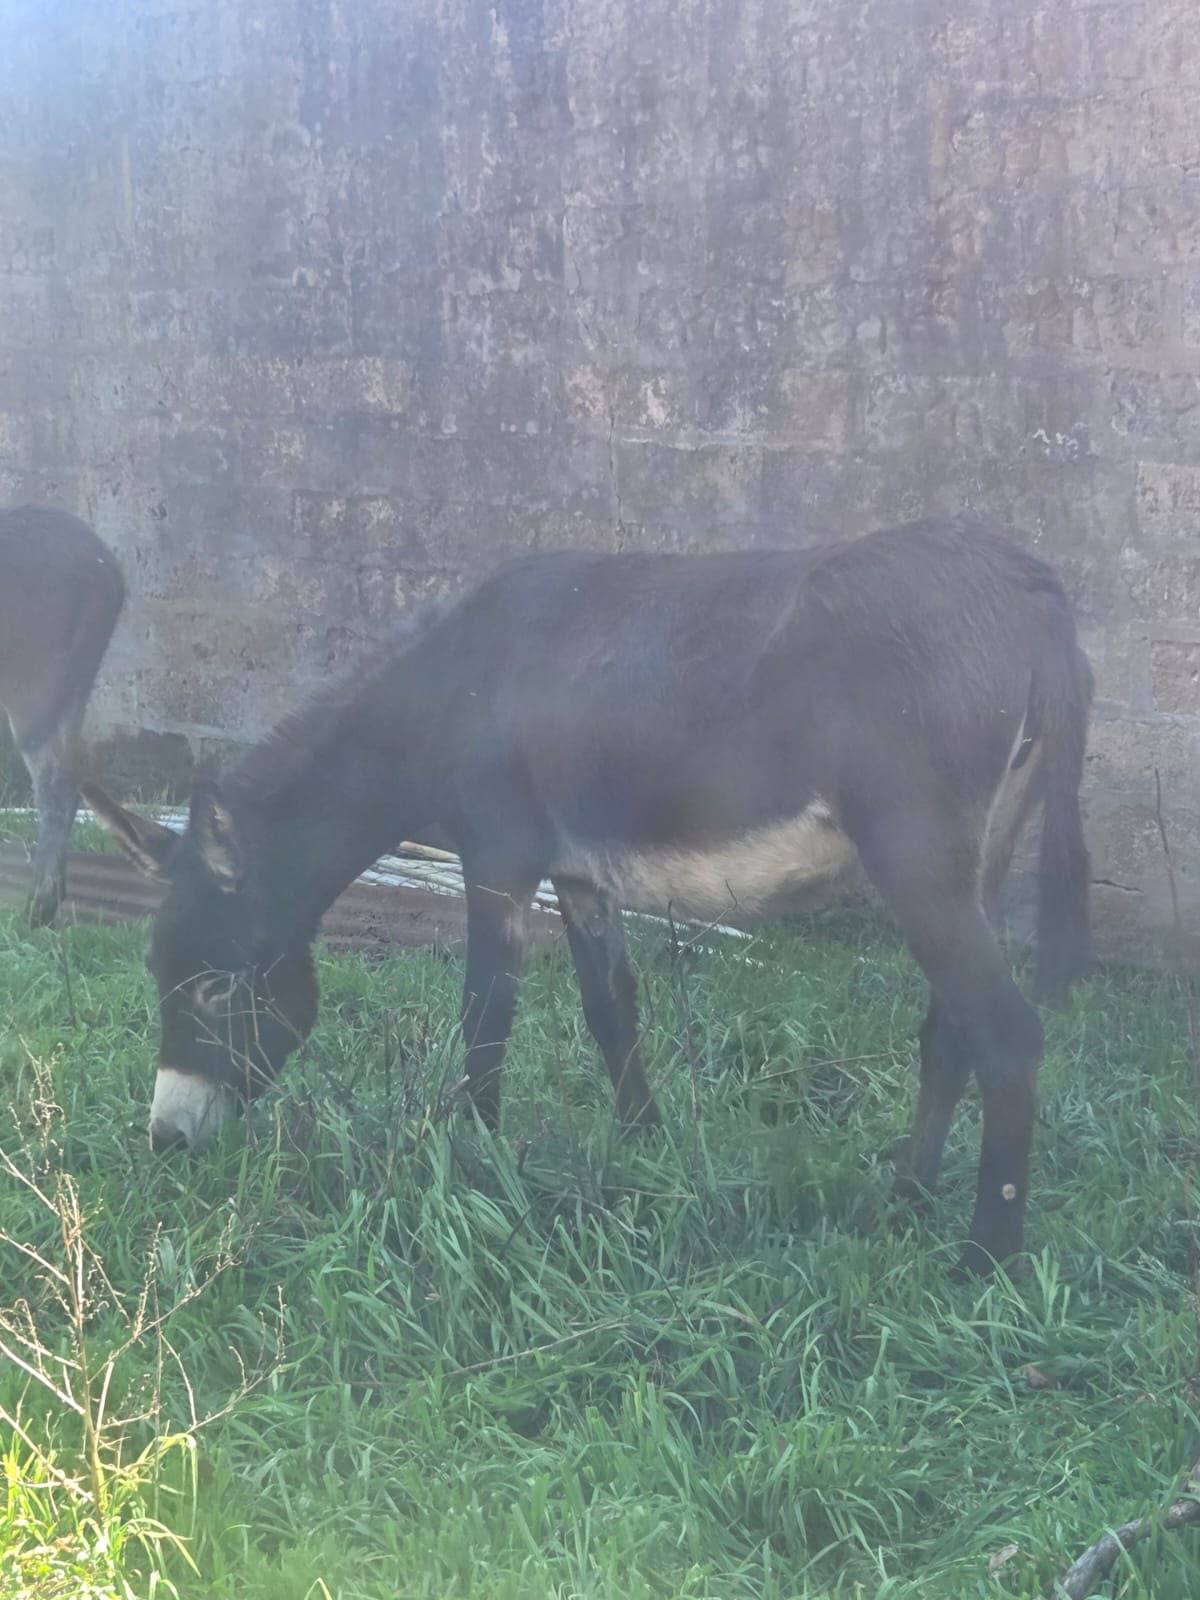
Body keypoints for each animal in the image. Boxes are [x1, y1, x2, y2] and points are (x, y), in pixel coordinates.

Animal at [1, 505, 125, 924]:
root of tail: (107, 571)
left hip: (34, 688)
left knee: (52, 786)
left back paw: (37, 907)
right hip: (74, 686)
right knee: (69, 779)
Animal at [85, 517, 1092, 1275]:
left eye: (217, 988)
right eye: (157, 974)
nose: (167, 1141)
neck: (451, 693)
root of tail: (1032, 588)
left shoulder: (498, 860)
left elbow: (485, 1018)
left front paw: (466, 1171)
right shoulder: (577, 875)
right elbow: (612, 1012)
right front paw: (642, 1149)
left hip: (914, 851)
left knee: (1008, 1034)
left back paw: (984, 1263)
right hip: (976, 860)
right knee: (950, 1029)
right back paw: (907, 1199)